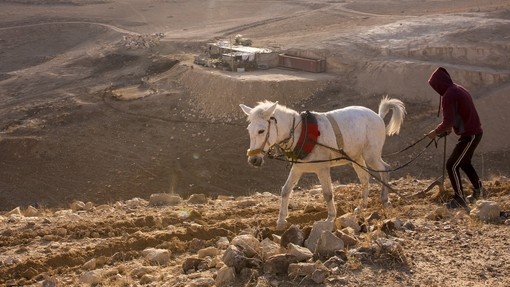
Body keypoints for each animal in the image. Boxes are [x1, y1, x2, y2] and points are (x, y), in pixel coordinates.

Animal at [240, 98, 406, 231]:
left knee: (385, 170)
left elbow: (327, 193)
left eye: (261, 131)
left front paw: (330, 217)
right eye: (249, 130)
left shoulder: (322, 168)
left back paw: (385, 200)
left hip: (371, 155)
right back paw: (361, 206)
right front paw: (281, 221)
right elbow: (285, 190)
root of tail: (377, 116)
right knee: (365, 178)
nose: (253, 160)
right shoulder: (297, 168)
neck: (301, 133)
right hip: (357, 158)